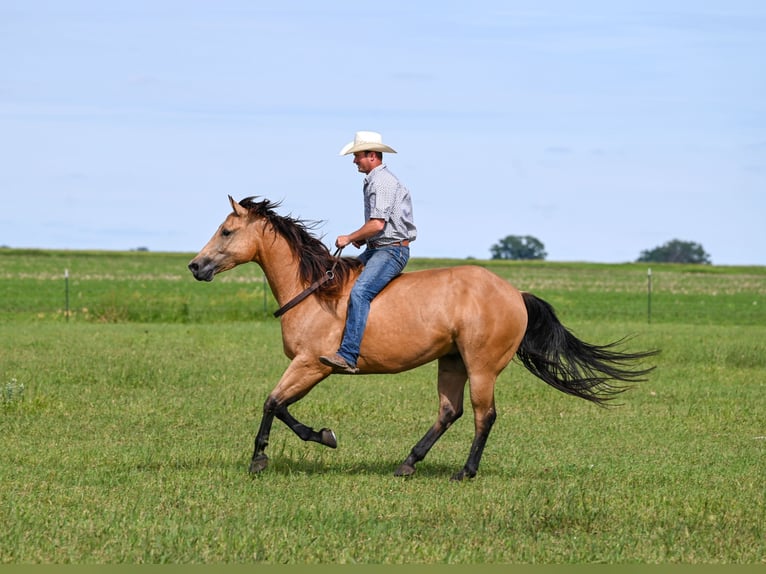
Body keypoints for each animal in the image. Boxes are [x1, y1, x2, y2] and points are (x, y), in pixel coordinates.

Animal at [188, 197, 660, 482]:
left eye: (226, 231)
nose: (195, 266)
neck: (315, 290)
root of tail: (515, 294)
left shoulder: (311, 364)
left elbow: (273, 403)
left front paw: (266, 456)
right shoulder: (311, 368)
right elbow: (281, 405)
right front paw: (319, 436)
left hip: (481, 366)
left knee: (484, 416)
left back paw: (464, 472)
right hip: (451, 361)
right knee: (449, 412)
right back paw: (407, 463)